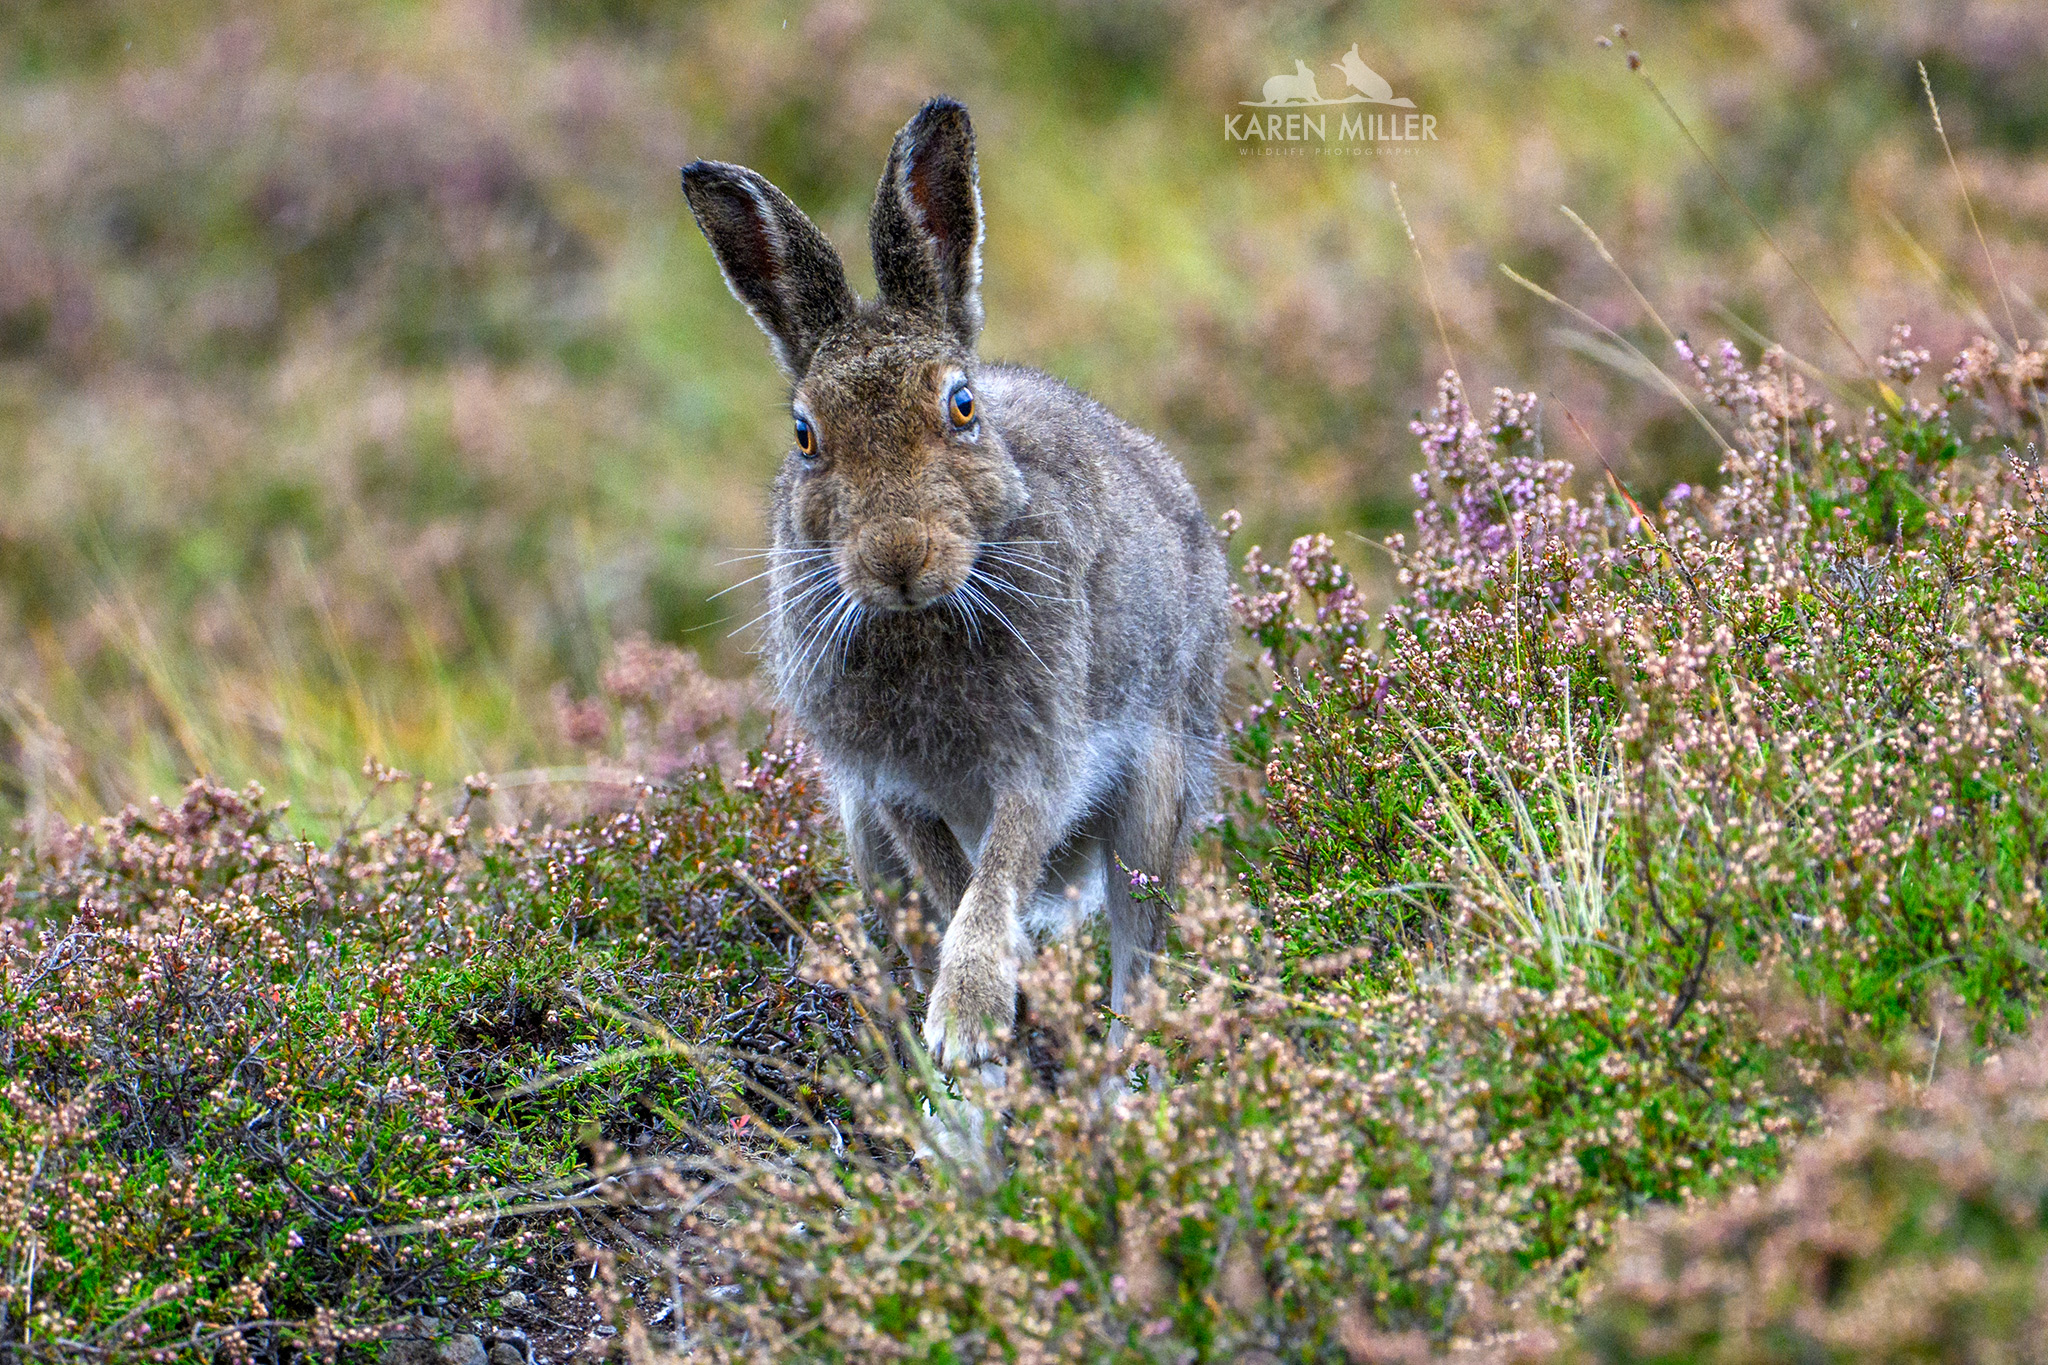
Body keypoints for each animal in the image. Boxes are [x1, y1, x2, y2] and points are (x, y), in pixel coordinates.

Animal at [680, 97, 1229, 1072]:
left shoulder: (1040, 759)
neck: (924, 615)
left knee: (1139, 972)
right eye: (804, 436)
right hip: (862, 842)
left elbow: (998, 868)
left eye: (962, 406)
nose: (899, 554)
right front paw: (987, 1014)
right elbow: (953, 882)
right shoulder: (887, 788)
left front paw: (970, 1013)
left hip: (1157, 797)